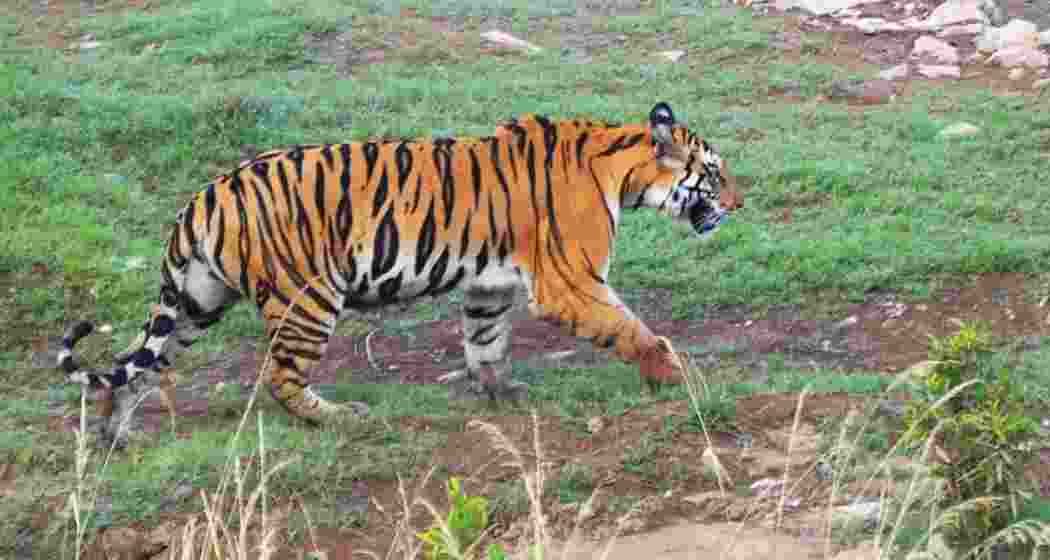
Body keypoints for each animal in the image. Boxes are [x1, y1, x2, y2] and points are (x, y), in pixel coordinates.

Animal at [57, 101, 743, 440]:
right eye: (714, 172)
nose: (739, 202)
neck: (620, 170)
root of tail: (203, 195)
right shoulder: (570, 281)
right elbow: (634, 329)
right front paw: (677, 374)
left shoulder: (490, 285)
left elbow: (485, 342)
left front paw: (500, 392)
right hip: (307, 298)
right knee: (279, 378)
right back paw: (338, 418)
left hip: (198, 300)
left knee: (134, 367)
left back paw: (114, 434)